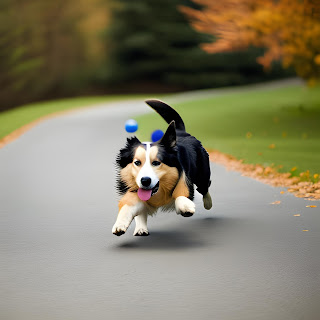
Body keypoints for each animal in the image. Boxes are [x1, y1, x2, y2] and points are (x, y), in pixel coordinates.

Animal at [112, 99, 212, 236]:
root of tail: (180, 131)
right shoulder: (134, 190)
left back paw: (208, 203)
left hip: (202, 174)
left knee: (204, 187)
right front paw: (120, 224)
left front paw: (185, 207)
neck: (158, 192)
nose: (145, 180)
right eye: (137, 162)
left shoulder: (184, 180)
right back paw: (141, 228)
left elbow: (181, 195)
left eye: (156, 163)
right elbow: (128, 206)